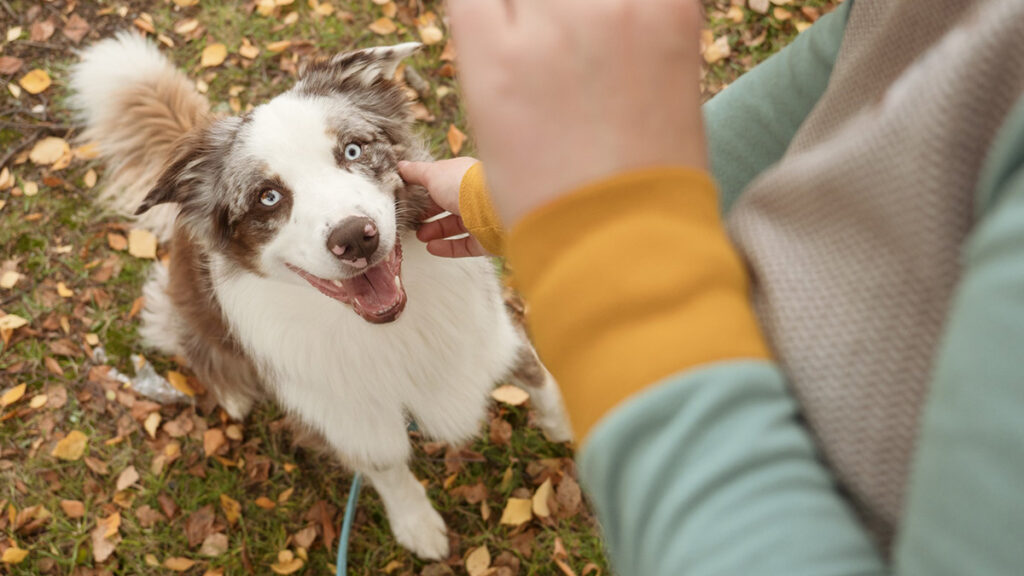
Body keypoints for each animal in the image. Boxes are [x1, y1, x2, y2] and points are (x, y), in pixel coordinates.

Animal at [68, 32, 573, 557]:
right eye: (268, 197)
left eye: (352, 150)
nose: (355, 238)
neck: (394, 330)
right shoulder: (343, 414)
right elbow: (389, 469)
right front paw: (417, 523)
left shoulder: (491, 337)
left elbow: (538, 376)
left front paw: (567, 426)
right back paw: (232, 394)